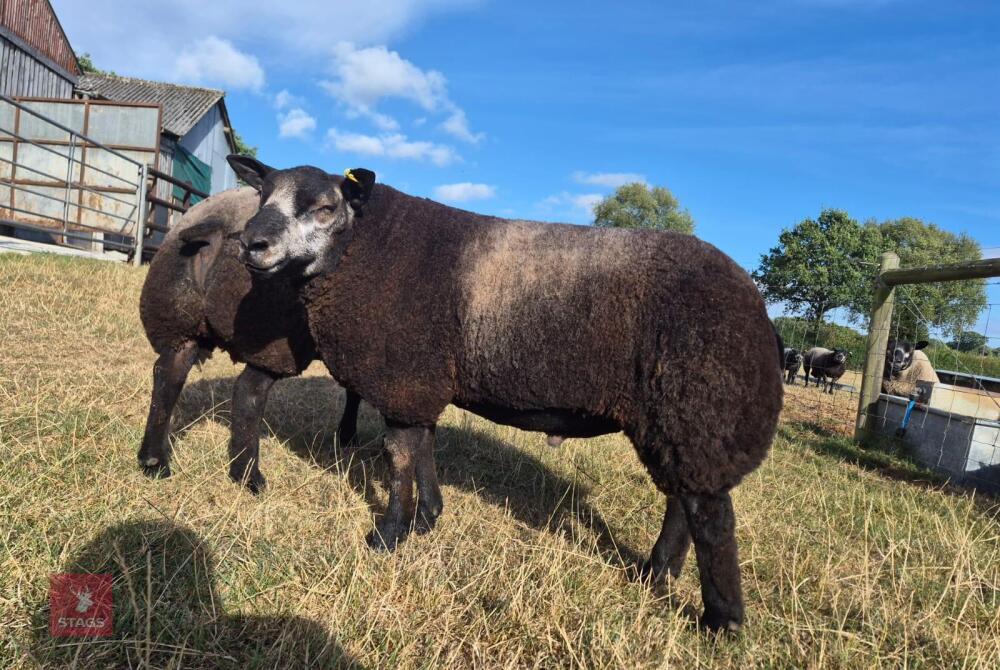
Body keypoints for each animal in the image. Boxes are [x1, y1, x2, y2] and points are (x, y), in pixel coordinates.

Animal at [137, 187, 363, 494]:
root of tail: (219, 225)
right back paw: (248, 476)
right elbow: (355, 393)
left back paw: (154, 460)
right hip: (271, 332)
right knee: (248, 392)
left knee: (168, 376)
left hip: (176, 317)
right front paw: (348, 436)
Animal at [227, 156, 784, 633]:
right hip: (676, 419)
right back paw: (657, 573)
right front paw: (428, 518)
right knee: (685, 501)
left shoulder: (403, 376)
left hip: (698, 407)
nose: (251, 244)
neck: (366, 247)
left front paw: (388, 535)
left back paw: (721, 619)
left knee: (711, 517)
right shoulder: (421, 381)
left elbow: (398, 456)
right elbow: (423, 447)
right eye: (263, 196)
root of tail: (756, 305)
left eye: (325, 208)